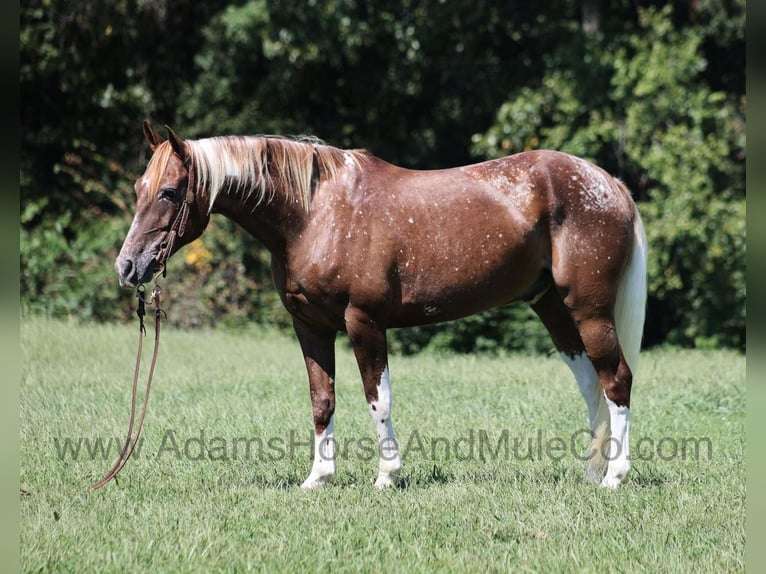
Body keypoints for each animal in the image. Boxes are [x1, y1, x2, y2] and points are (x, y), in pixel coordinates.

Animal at [115, 121, 647, 489]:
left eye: (169, 192)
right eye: (139, 189)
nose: (128, 266)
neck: (313, 213)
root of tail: (610, 184)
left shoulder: (364, 322)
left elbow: (378, 398)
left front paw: (387, 475)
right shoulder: (310, 327)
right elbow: (322, 400)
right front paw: (318, 478)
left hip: (589, 309)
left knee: (616, 380)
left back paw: (615, 477)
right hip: (552, 307)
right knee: (591, 385)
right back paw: (591, 472)